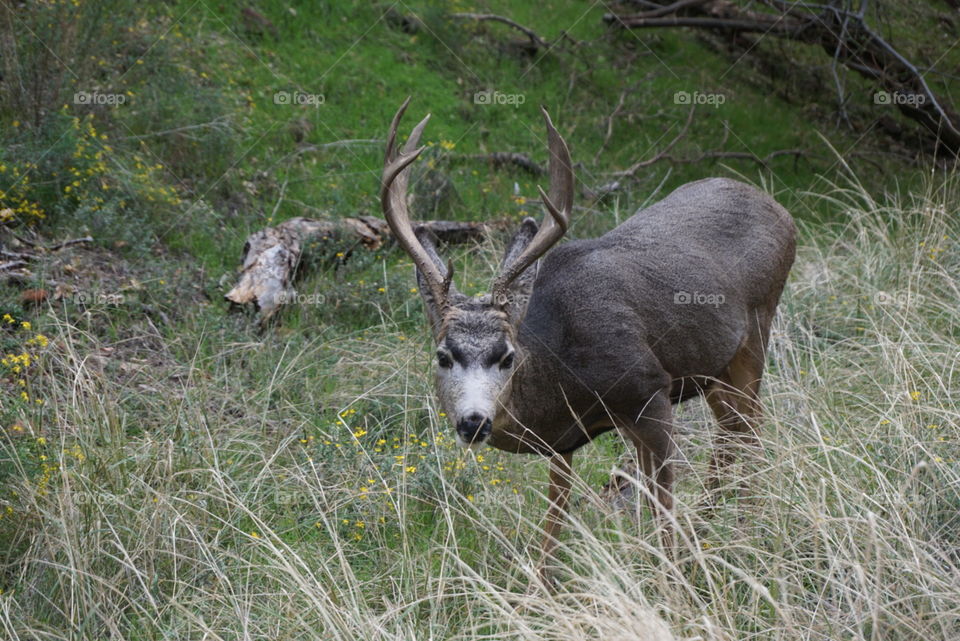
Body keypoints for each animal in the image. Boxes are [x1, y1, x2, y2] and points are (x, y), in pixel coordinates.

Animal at [381, 98, 796, 579]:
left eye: (507, 356)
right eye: (443, 355)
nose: (473, 422)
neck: (561, 365)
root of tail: (781, 210)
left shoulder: (649, 391)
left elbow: (662, 504)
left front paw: (671, 581)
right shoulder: (564, 438)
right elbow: (554, 519)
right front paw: (540, 587)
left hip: (757, 329)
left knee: (749, 428)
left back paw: (744, 528)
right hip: (713, 367)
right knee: (731, 430)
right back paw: (710, 526)